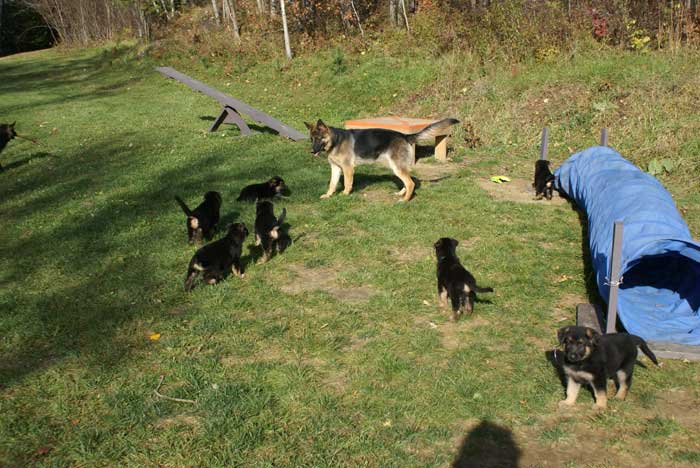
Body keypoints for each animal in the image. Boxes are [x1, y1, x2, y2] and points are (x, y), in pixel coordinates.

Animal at [304, 117, 460, 201]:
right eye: (312, 139)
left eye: (319, 138)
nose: (312, 151)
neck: (336, 141)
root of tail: (405, 136)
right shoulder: (336, 168)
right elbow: (332, 184)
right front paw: (328, 195)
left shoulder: (348, 169)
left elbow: (348, 184)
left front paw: (344, 195)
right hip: (396, 167)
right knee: (409, 181)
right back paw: (402, 193)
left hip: (396, 167)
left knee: (410, 183)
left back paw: (405, 200)